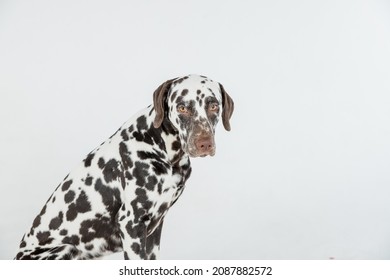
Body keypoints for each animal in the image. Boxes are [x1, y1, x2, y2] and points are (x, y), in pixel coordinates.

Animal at [14, 74, 235, 260]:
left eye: (214, 106)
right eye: (182, 108)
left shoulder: (154, 231)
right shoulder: (131, 224)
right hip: (66, 248)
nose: (204, 143)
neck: (164, 151)